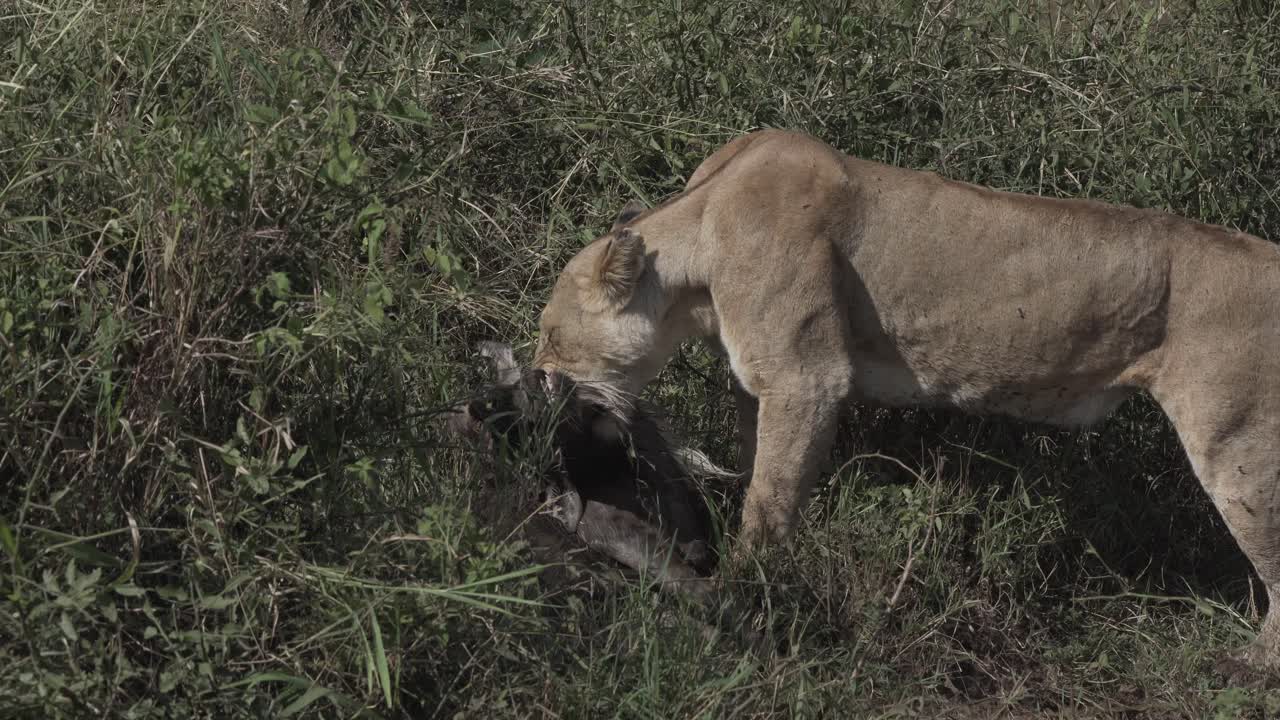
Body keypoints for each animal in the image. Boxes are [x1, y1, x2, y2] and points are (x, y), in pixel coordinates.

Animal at [531, 128, 1280, 669]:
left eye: (550, 333)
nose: (536, 378)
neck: (699, 238)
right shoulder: (760, 381)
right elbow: (758, 471)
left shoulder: (808, 377)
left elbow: (768, 504)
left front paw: (746, 591)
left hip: (1238, 445)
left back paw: (1251, 665)